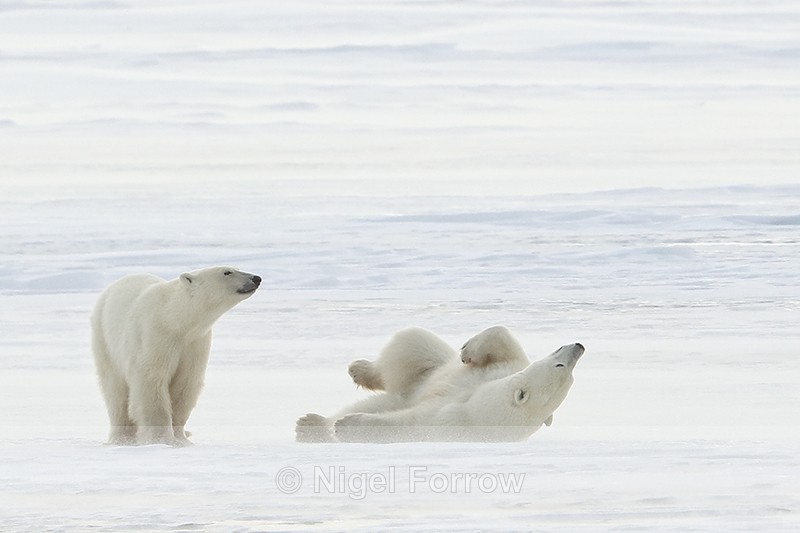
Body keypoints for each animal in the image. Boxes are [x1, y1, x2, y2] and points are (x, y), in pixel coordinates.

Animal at [91, 266, 261, 446]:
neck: (173, 319)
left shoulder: (195, 343)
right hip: (104, 340)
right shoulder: (153, 336)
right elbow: (151, 381)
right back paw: (122, 438)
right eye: (227, 272)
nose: (257, 278)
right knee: (115, 391)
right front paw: (162, 439)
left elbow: (186, 384)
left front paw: (181, 438)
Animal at [296, 325, 532, 443]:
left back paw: (314, 423)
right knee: (411, 341)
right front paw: (469, 349)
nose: (464, 353)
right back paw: (358, 370)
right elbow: (505, 343)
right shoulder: (504, 368)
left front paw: (348, 424)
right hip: (426, 374)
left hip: (407, 396)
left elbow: (412, 423)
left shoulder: (452, 417)